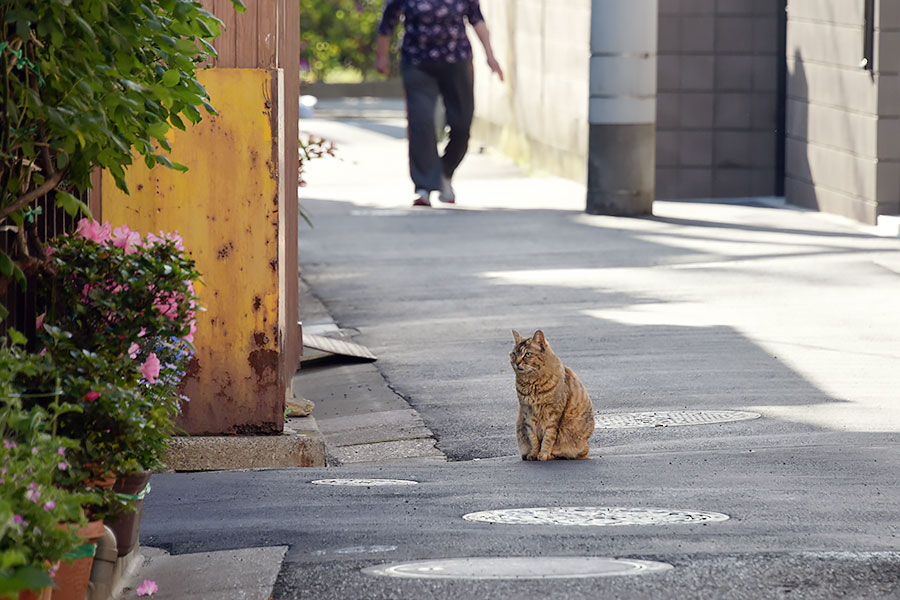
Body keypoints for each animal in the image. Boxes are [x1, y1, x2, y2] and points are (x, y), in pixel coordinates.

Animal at [510, 330, 596, 462]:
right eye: (514, 354)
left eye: (527, 354)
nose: (517, 363)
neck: (532, 384)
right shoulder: (527, 414)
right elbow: (533, 439)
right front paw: (534, 454)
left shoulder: (553, 415)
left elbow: (548, 438)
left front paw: (544, 454)